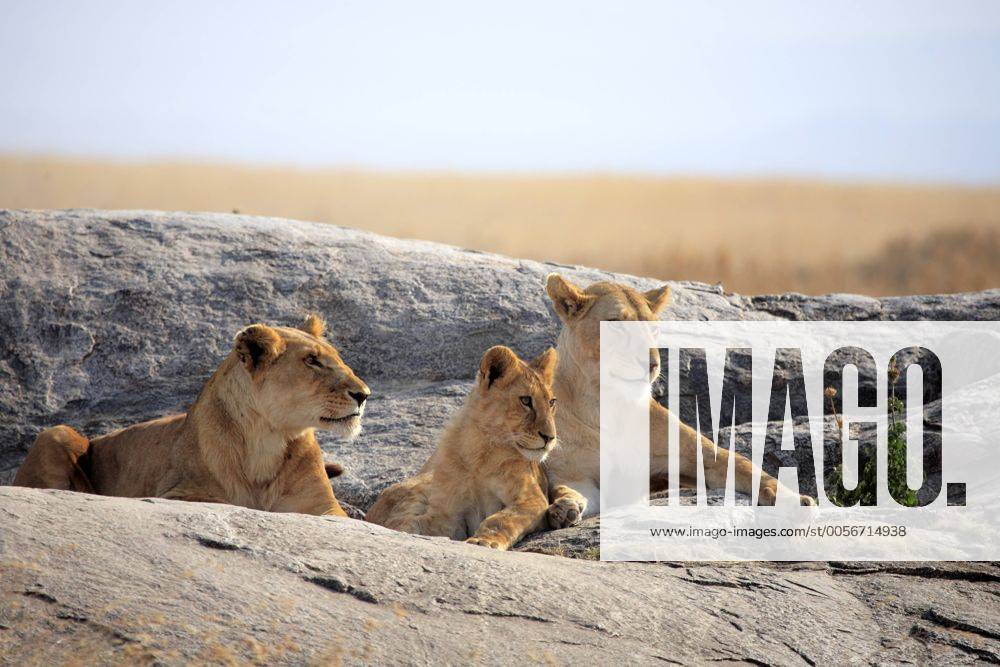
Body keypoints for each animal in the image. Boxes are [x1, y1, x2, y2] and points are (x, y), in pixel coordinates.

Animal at [13, 314, 369, 517]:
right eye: (312, 361)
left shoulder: (324, 508)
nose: (364, 394)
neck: (267, 438)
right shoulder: (180, 494)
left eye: (337, 357)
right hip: (56, 432)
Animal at [366, 345, 557, 550]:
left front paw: (484, 541)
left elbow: (502, 519)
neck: (481, 453)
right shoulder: (448, 514)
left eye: (551, 402)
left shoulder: (532, 500)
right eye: (526, 401)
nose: (550, 437)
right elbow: (413, 524)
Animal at [542, 274, 816, 529]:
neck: (609, 404)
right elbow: (570, 489)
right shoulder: (575, 475)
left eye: (653, 328)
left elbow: (746, 466)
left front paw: (796, 500)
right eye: (616, 324)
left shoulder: (697, 455)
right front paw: (565, 507)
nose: (653, 364)